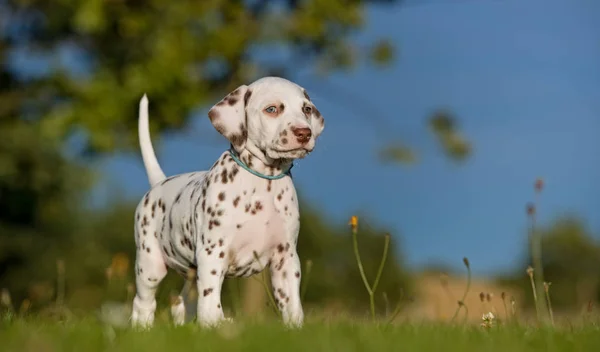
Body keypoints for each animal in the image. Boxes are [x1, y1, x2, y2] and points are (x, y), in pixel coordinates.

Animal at [130, 75, 324, 328]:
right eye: (272, 109)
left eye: (306, 109)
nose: (304, 133)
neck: (263, 182)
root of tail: (159, 184)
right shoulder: (212, 253)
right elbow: (211, 299)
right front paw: (216, 323)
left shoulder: (286, 257)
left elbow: (291, 303)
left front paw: (295, 327)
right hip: (150, 264)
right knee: (143, 303)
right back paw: (142, 328)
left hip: (192, 272)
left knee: (182, 303)